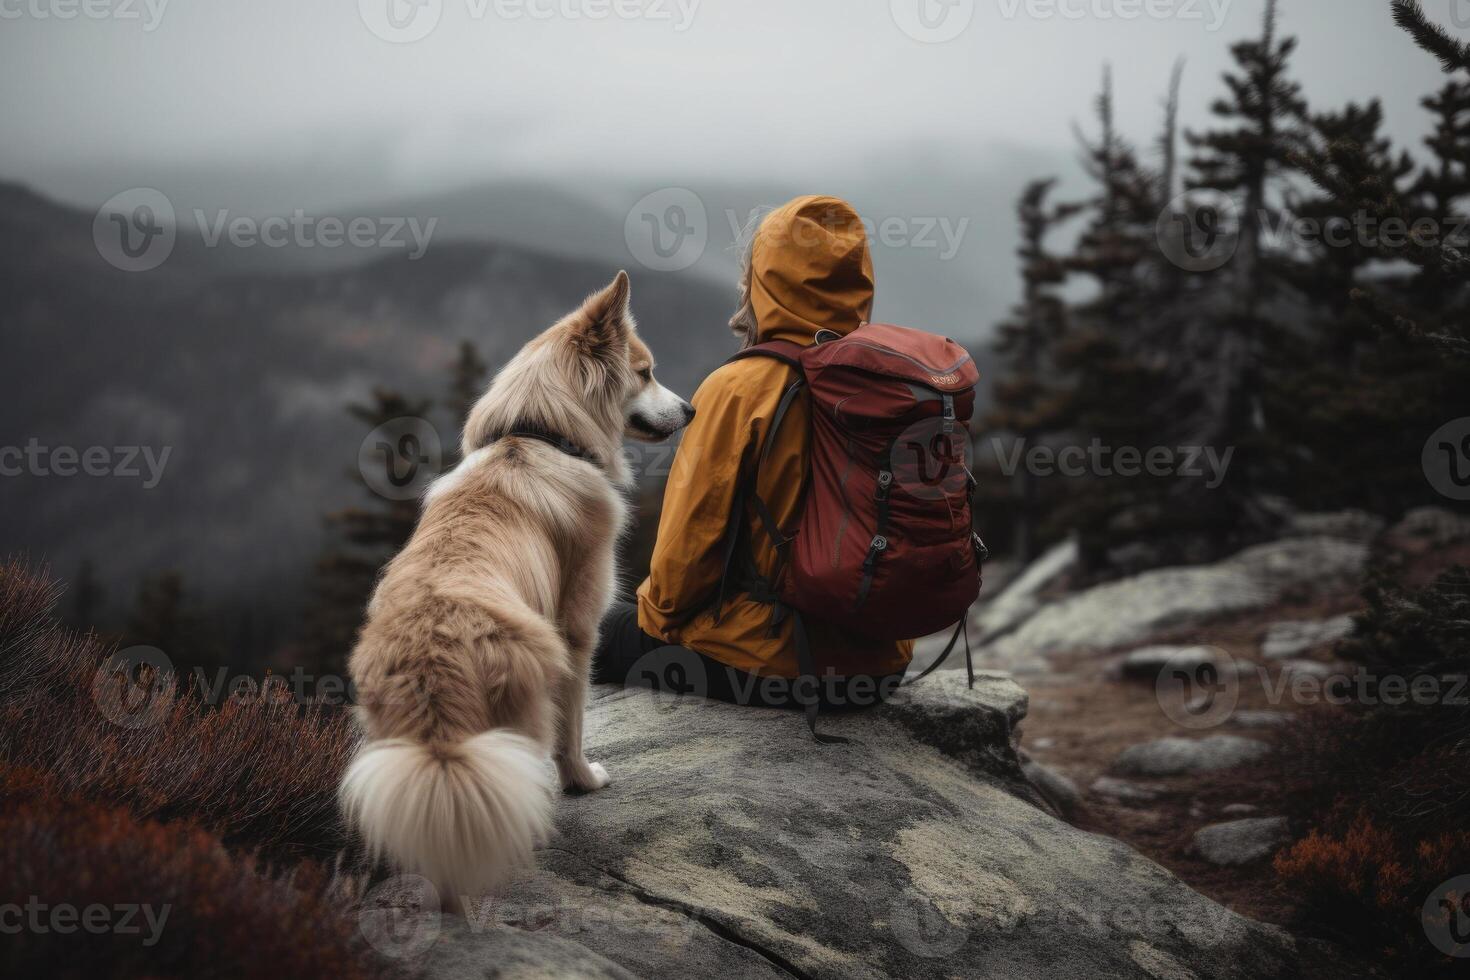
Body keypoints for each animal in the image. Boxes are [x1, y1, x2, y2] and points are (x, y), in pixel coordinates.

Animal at [341, 271, 690, 910]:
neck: (538, 435)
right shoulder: (579, 629)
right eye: (646, 372)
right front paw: (583, 781)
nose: (691, 408)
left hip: (403, 760)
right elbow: (573, 725)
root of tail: (432, 662)